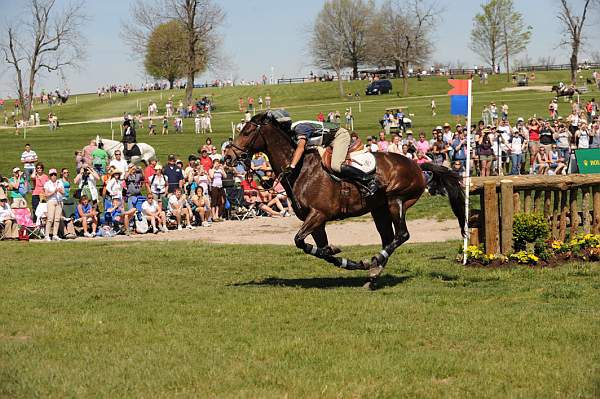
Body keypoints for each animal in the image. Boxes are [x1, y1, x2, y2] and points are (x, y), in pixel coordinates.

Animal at [225, 111, 464, 288]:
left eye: (247, 131)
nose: (229, 157)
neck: (300, 169)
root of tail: (417, 165)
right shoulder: (316, 221)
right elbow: (318, 249)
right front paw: (343, 257)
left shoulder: (318, 214)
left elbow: (299, 240)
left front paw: (348, 258)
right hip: (379, 209)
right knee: (389, 238)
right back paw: (373, 273)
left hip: (395, 201)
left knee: (402, 235)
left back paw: (374, 262)